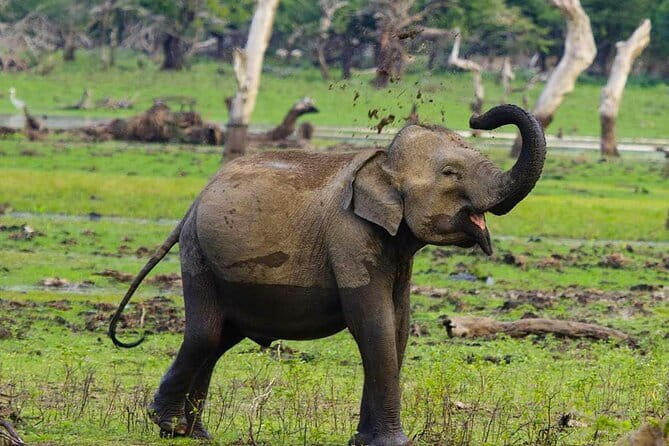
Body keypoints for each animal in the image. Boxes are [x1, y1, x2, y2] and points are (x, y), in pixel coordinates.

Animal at [109, 104, 546, 445]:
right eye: (451, 173)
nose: (477, 115)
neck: (381, 161)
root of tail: (194, 201)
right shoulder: (349, 235)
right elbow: (373, 323)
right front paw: (392, 443)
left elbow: (398, 325)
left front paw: (364, 441)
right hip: (197, 253)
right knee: (204, 334)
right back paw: (168, 425)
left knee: (218, 340)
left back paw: (196, 434)